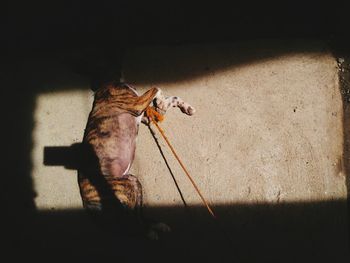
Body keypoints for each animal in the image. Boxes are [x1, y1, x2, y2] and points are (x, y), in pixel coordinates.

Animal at [77, 81, 196, 240]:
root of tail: (87, 202)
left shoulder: (145, 115)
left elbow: (171, 98)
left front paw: (183, 106)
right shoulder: (136, 104)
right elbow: (157, 88)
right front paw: (161, 102)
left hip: (132, 183)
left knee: (137, 217)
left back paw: (155, 226)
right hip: (121, 193)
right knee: (131, 225)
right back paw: (149, 232)